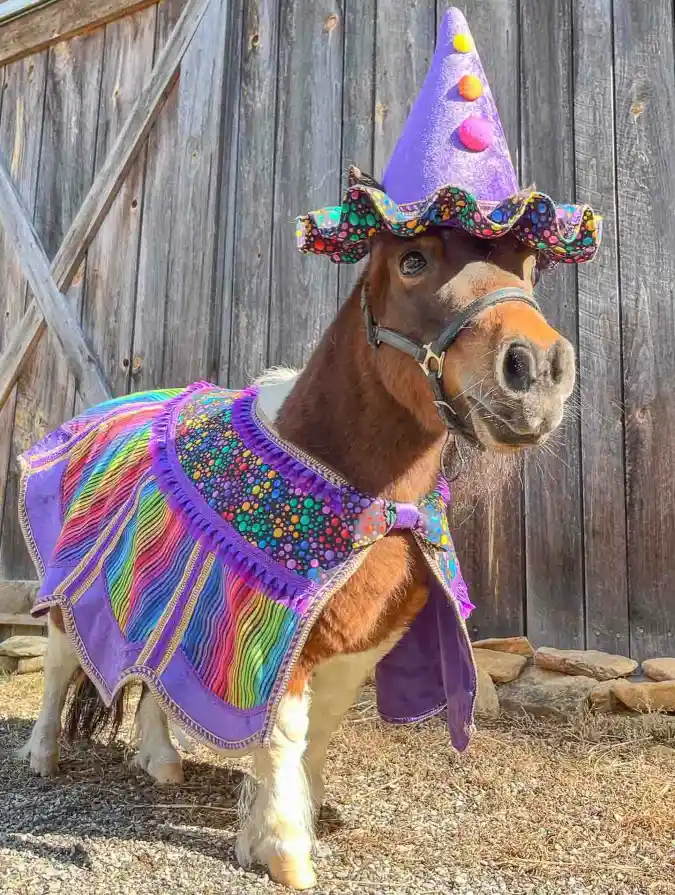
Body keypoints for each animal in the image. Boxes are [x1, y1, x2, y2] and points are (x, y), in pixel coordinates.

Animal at [19, 225, 575, 889]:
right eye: (412, 260)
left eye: (529, 266)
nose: (536, 371)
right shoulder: (274, 645)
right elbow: (286, 734)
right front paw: (286, 851)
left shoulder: (359, 644)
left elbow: (321, 731)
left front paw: (299, 826)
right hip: (67, 590)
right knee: (57, 666)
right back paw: (43, 756)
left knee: (152, 677)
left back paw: (161, 761)